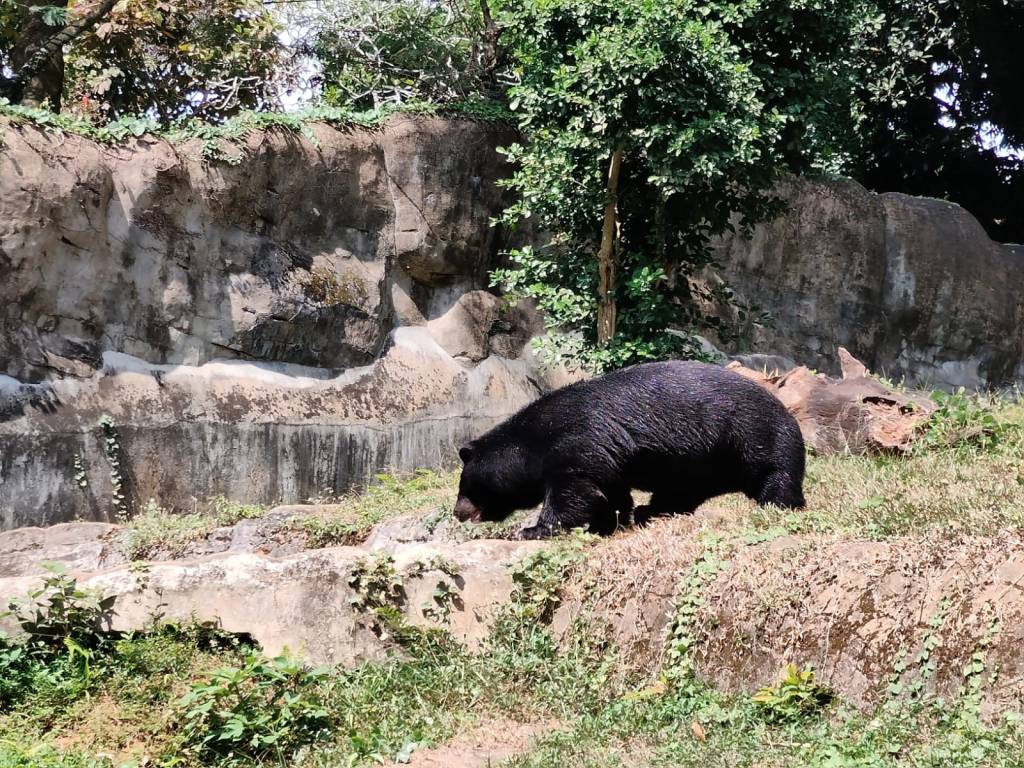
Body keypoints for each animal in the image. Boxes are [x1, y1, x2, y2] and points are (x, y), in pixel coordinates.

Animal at [452, 360, 806, 539]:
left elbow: (574, 491)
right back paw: (652, 511)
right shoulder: (606, 455)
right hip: (700, 463)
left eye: (466, 486)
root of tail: (788, 413)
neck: (533, 442)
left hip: (749, 434)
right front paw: (610, 523)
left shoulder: (577, 442)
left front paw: (531, 530)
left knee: (774, 474)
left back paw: (777, 505)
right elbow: (609, 489)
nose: (458, 512)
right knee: (680, 490)